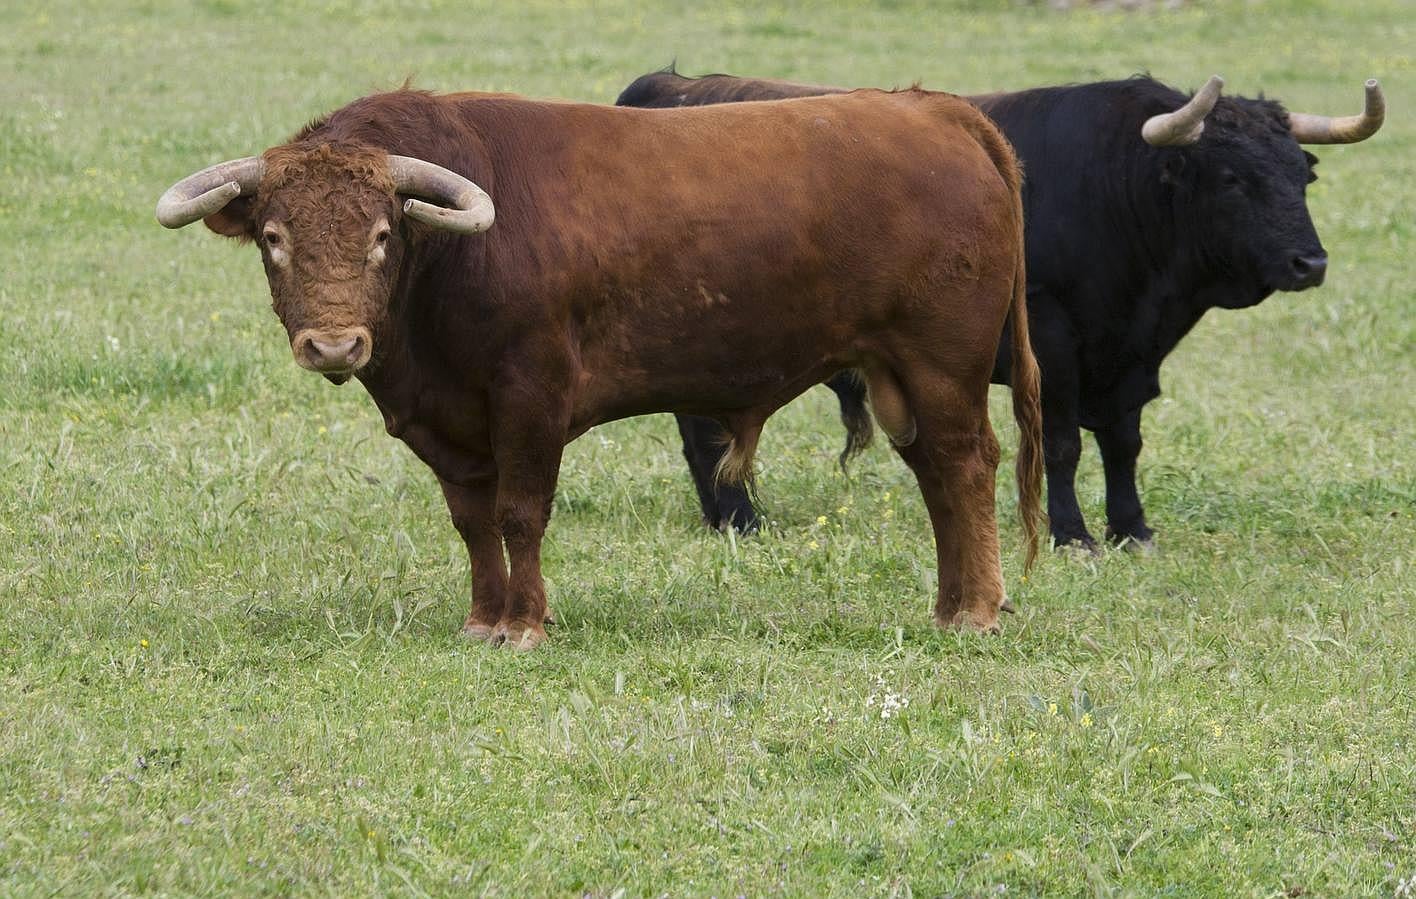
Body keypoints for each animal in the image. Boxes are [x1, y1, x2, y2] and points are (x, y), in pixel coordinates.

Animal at [157, 87, 1042, 651]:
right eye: (275, 237)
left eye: (381, 235)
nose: (335, 346)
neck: (445, 265)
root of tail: (931, 108)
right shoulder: (450, 425)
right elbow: (473, 521)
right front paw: (483, 619)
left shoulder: (530, 398)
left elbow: (520, 513)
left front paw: (523, 625)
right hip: (898, 378)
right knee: (935, 476)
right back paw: (948, 606)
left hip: (942, 366)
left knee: (967, 467)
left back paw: (978, 612)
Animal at [617, 68, 1382, 549]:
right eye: (1231, 177)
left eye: (1303, 172)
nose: (1310, 264)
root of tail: (664, 89)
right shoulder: (1053, 342)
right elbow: (1064, 443)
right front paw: (1074, 535)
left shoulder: (1127, 361)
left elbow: (1124, 443)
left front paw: (1132, 529)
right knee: (704, 434)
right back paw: (743, 522)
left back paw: (727, 520)